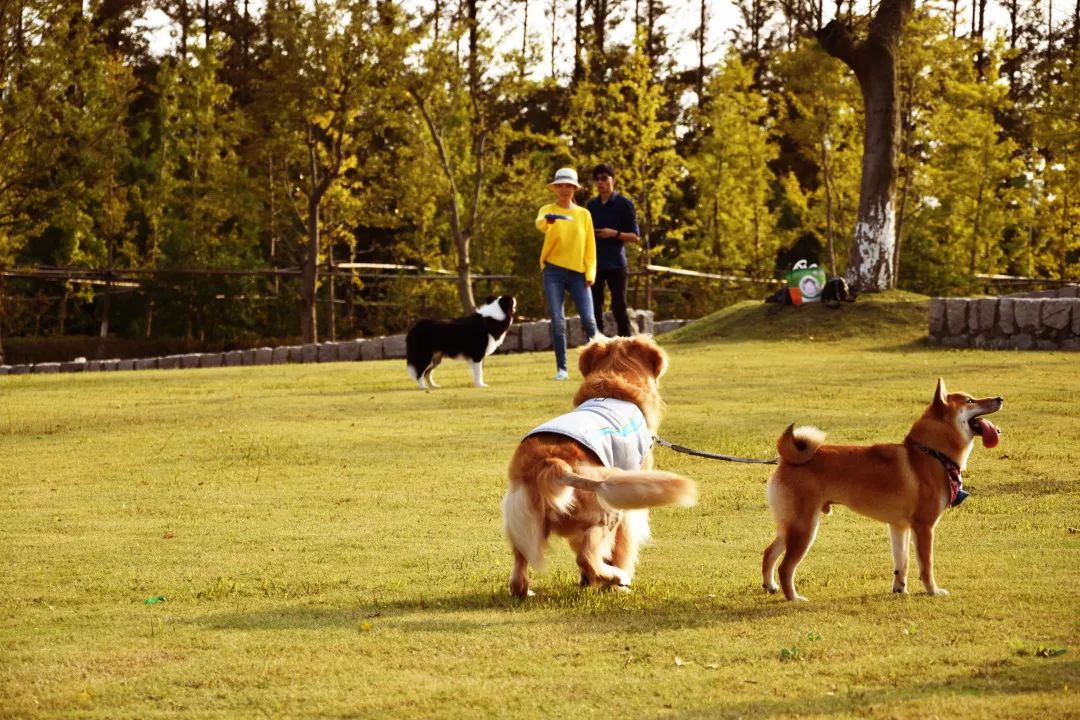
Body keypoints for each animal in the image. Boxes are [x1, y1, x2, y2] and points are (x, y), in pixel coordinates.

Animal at [501, 336, 695, 595]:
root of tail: (552, 463)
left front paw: (587, 582)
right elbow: (621, 548)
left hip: (523, 520)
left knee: (520, 571)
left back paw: (527, 591)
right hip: (609, 507)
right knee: (586, 557)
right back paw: (617, 578)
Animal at [760, 379, 1002, 600]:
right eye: (970, 401)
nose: (1000, 398)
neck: (931, 454)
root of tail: (786, 459)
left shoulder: (899, 527)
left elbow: (902, 563)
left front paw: (900, 590)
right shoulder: (924, 527)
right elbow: (926, 566)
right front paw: (932, 591)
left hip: (791, 525)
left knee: (768, 553)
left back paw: (771, 586)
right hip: (805, 528)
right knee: (785, 567)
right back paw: (793, 597)